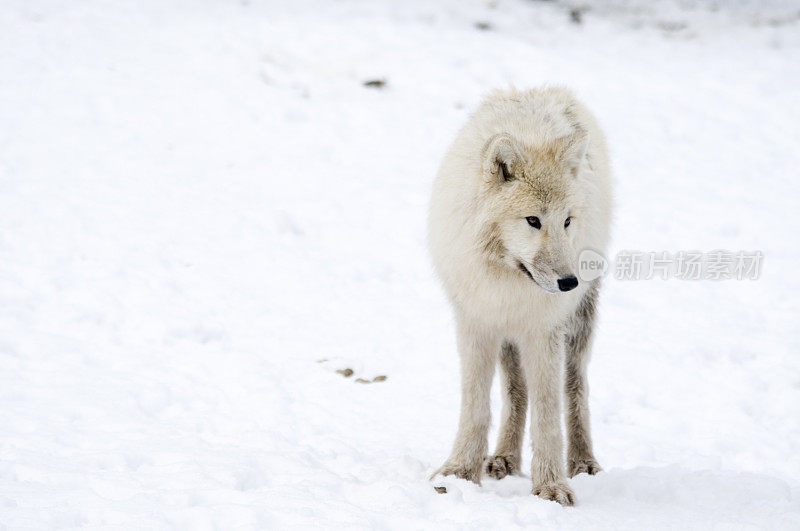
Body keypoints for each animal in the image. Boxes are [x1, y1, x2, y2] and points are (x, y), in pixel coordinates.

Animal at [428, 87, 608, 508]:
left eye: (566, 221)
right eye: (533, 221)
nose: (568, 282)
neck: (506, 278)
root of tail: (545, 89)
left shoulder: (544, 332)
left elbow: (548, 416)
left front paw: (551, 487)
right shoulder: (476, 323)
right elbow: (476, 408)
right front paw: (459, 472)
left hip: (578, 324)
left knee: (575, 388)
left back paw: (583, 461)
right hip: (508, 337)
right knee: (515, 389)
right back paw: (504, 458)